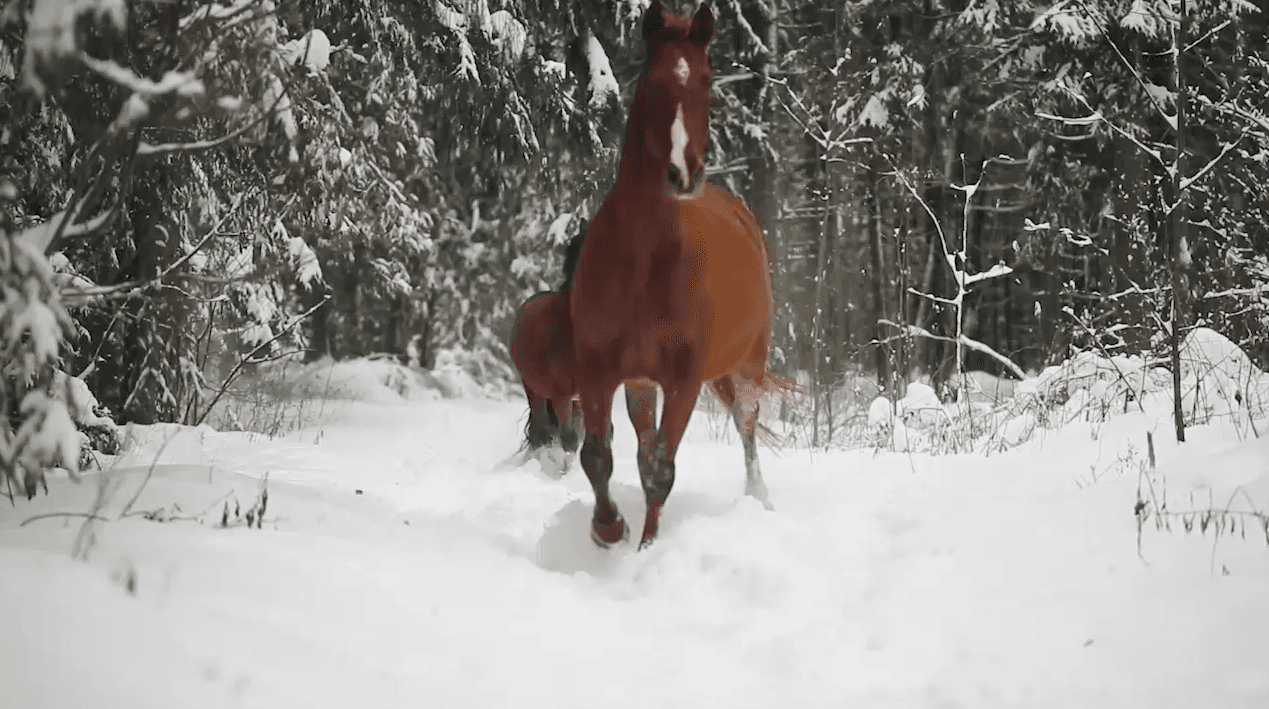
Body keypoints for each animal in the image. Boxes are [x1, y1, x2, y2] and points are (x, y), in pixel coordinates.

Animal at [568, 1, 797, 550]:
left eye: (707, 80)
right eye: (651, 82)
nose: (683, 172)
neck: (641, 263)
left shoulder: (685, 381)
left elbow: (661, 471)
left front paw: (647, 550)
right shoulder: (598, 369)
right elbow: (598, 456)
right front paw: (609, 529)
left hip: (748, 365)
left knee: (746, 427)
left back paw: (758, 498)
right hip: (640, 385)